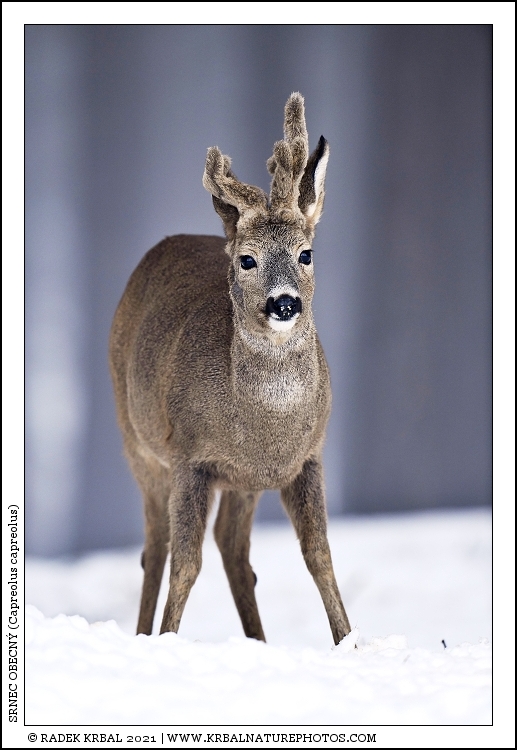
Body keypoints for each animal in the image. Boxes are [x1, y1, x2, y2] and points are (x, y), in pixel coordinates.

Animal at [109, 92, 352, 646]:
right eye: (247, 260)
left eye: (306, 253)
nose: (284, 303)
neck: (264, 429)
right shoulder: (190, 457)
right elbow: (185, 564)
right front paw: (168, 639)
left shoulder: (306, 457)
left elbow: (320, 557)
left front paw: (351, 642)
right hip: (137, 442)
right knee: (155, 547)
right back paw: (142, 635)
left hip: (241, 482)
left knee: (232, 548)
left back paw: (258, 641)